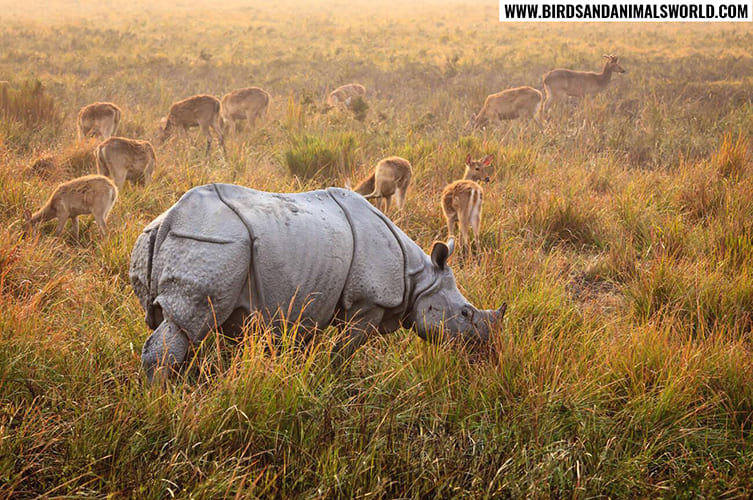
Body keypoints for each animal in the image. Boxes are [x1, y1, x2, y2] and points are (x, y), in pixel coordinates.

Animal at [129, 183, 506, 380]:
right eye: (466, 314)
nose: (487, 351)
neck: (419, 277)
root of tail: (170, 218)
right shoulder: (368, 303)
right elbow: (346, 348)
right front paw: (334, 376)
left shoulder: (310, 301)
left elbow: (303, 343)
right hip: (212, 242)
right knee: (187, 323)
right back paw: (164, 400)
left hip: (172, 239)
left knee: (179, 325)